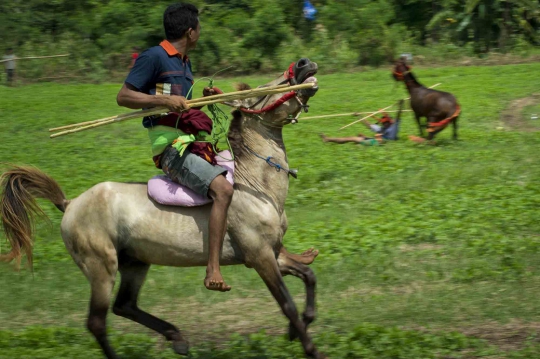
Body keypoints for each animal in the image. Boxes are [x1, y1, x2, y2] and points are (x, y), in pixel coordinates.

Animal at [0, 59, 324, 359]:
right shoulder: (259, 256)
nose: (304, 64)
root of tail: (70, 205)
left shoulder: (272, 252)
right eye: (264, 90)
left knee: (125, 305)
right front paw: (310, 346)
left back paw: (176, 337)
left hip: (134, 263)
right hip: (101, 267)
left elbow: (309, 276)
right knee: (97, 322)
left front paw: (298, 328)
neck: (256, 187)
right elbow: (287, 303)